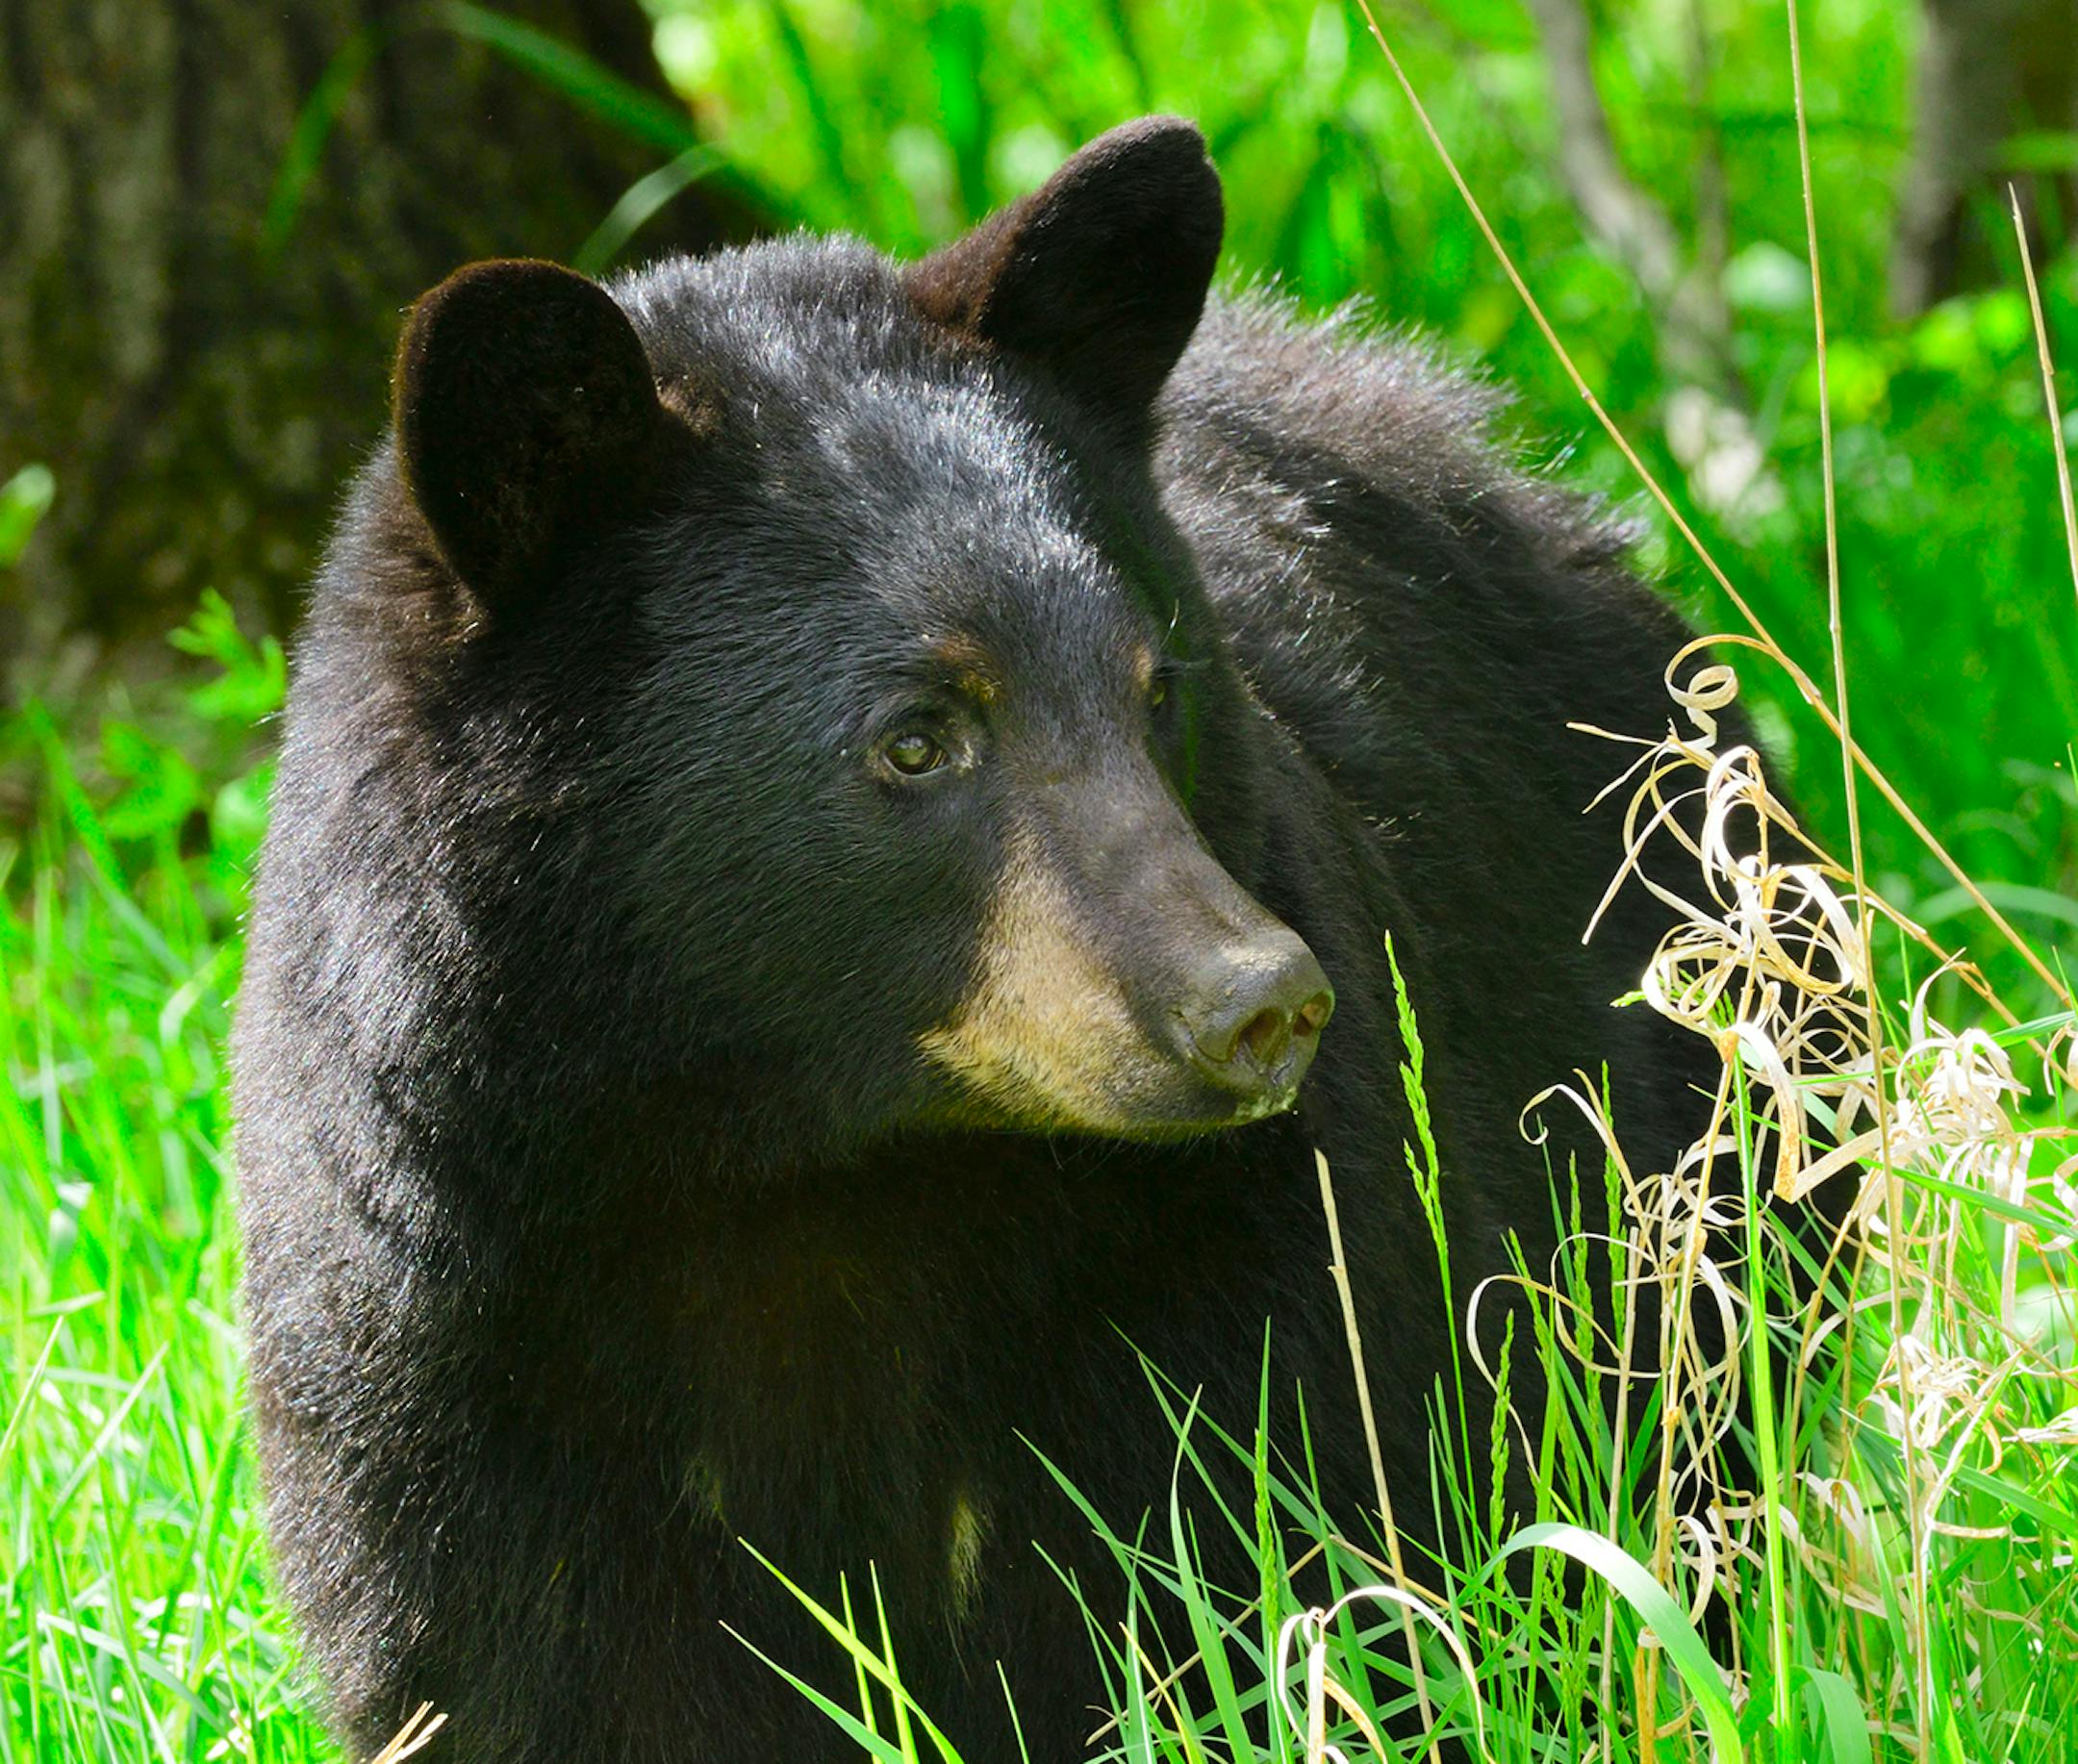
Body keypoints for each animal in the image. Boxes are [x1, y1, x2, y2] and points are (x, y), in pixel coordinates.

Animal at [234, 116, 1762, 1763]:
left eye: (1159, 685)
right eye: (915, 739)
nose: (1260, 1002)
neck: (817, 1172)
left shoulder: (1259, 1255)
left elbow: (1313, 1542)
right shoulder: (449, 1313)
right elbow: (524, 1670)